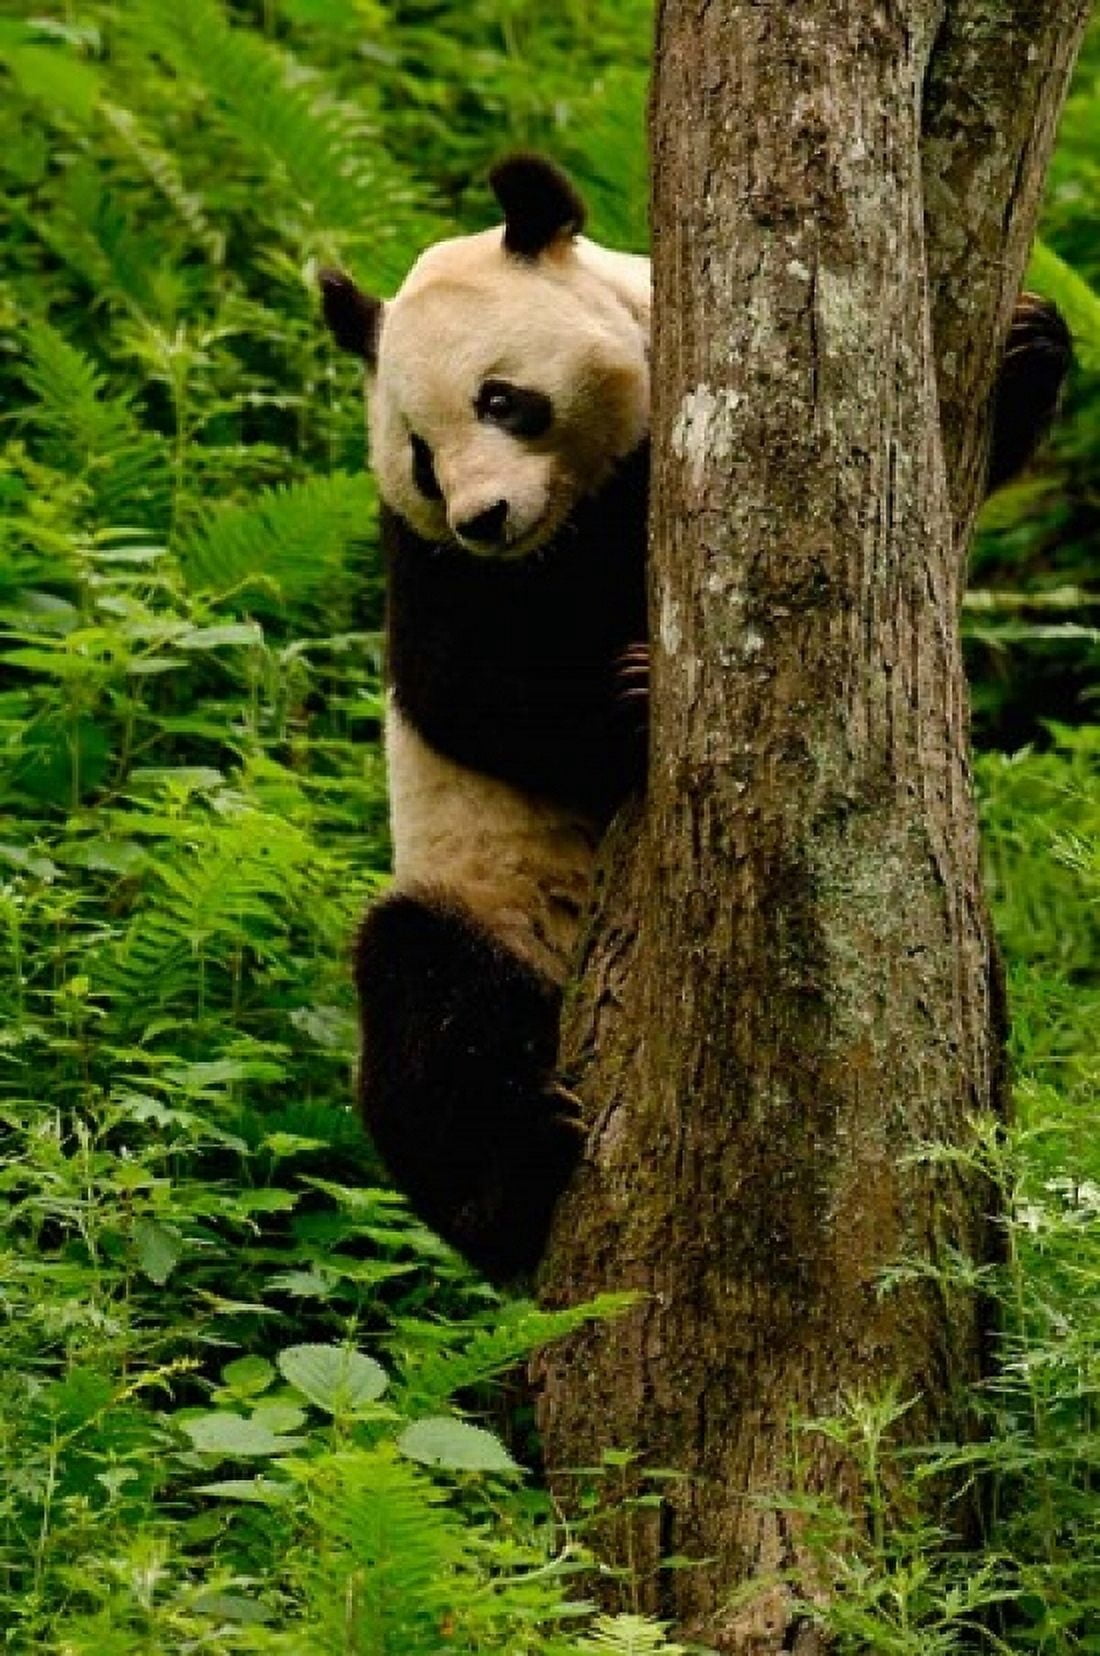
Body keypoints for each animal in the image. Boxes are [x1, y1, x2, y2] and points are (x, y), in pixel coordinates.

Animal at [320, 154, 1070, 1285]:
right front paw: (625, 708)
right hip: (489, 899)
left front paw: (1031, 342)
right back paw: (515, 1183)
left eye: (501, 399)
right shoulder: (429, 558)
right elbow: (459, 684)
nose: (484, 518)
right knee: (425, 1000)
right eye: (419, 454)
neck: (575, 505)